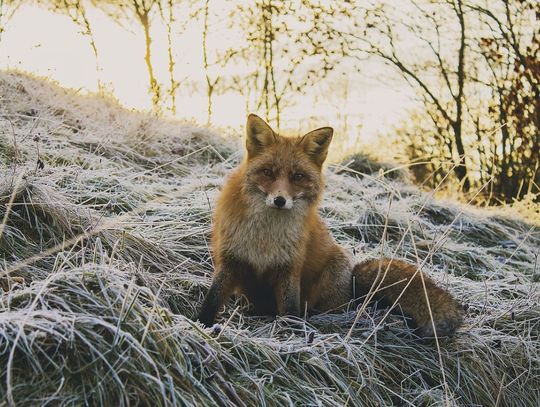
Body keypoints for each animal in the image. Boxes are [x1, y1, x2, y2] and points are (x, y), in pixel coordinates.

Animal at [198, 114, 464, 338]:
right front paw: (201, 326)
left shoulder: (289, 268)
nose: (280, 200)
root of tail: (352, 287)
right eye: (268, 172)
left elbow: (290, 310)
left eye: (297, 176)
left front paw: (292, 334)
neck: (265, 236)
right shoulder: (230, 260)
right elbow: (212, 299)